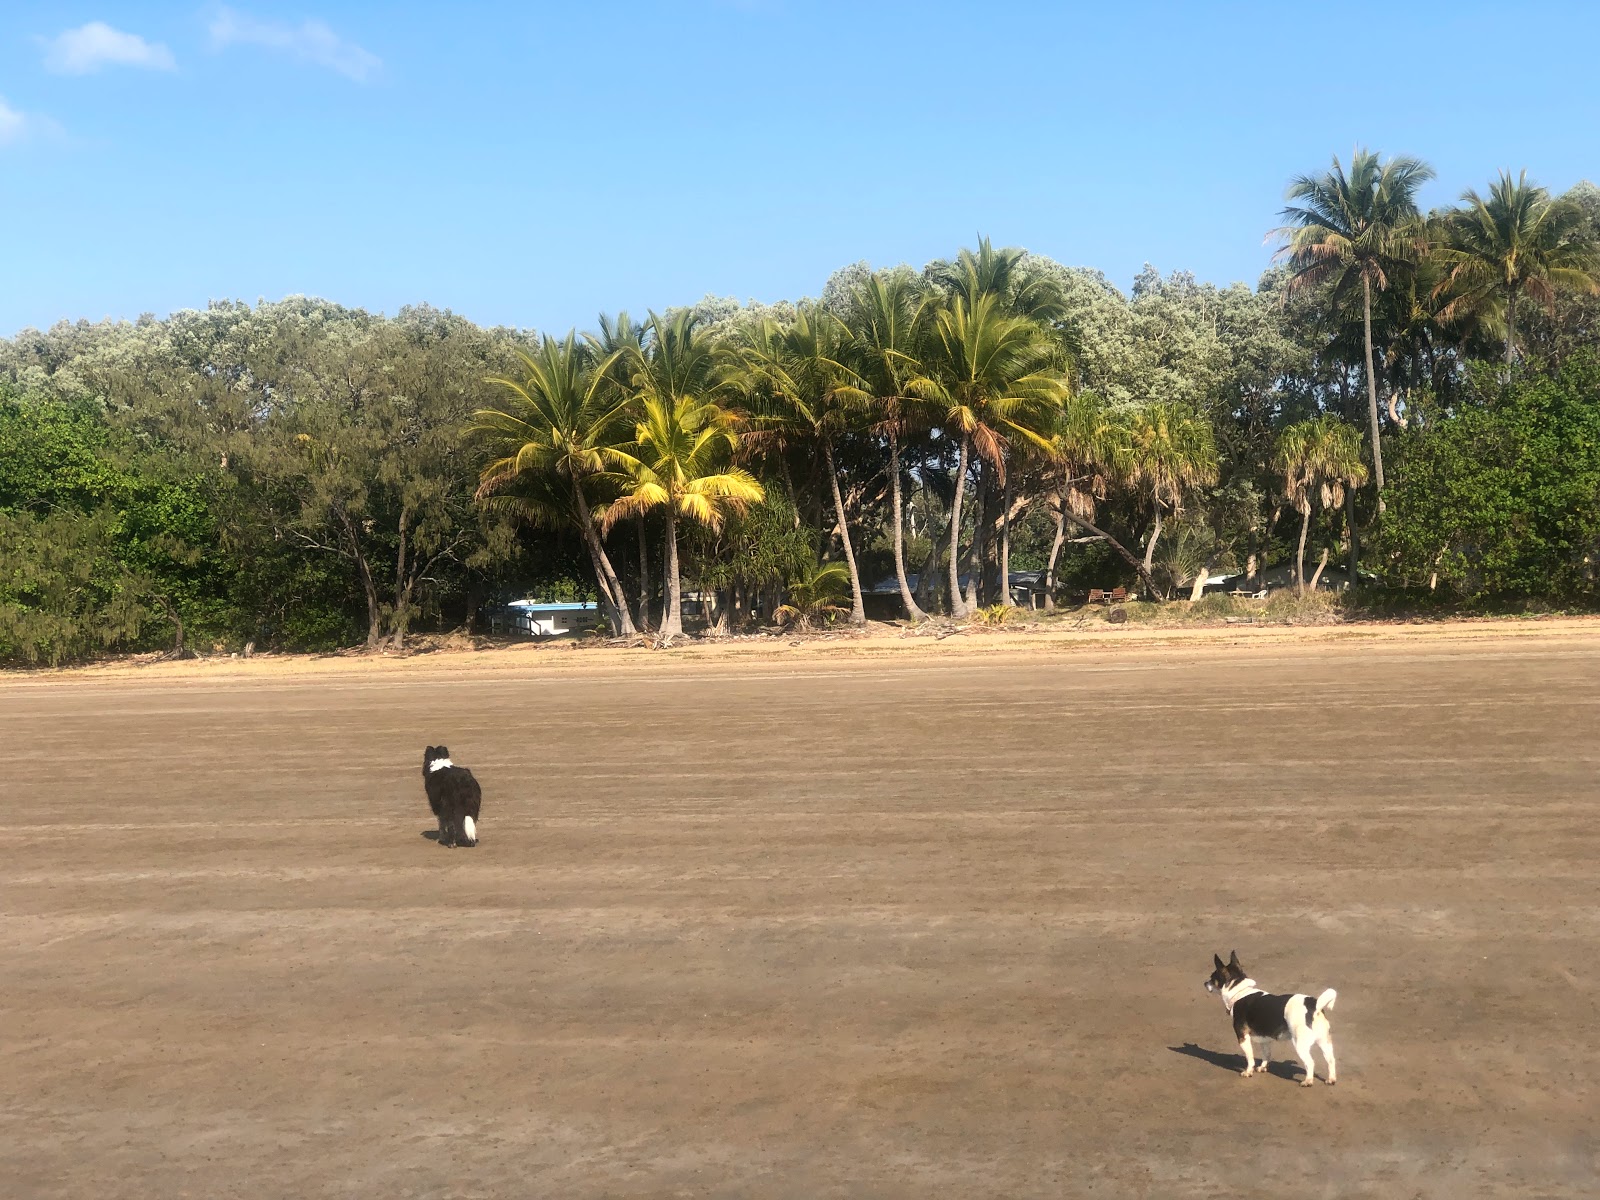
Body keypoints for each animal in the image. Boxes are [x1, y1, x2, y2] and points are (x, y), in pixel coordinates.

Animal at [1203, 953, 1337, 1088]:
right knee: (1330, 1060)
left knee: (1310, 1062)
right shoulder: (1265, 1039)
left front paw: (1248, 1072)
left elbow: (1250, 1058)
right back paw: (1331, 1079)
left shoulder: (1243, 1037)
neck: (1239, 991)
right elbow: (1266, 1054)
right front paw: (1263, 1067)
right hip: (1324, 1042)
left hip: (1300, 1044)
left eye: (1212, 977)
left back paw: (1308, 1081)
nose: (1204, 983)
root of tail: (1314, 1005)